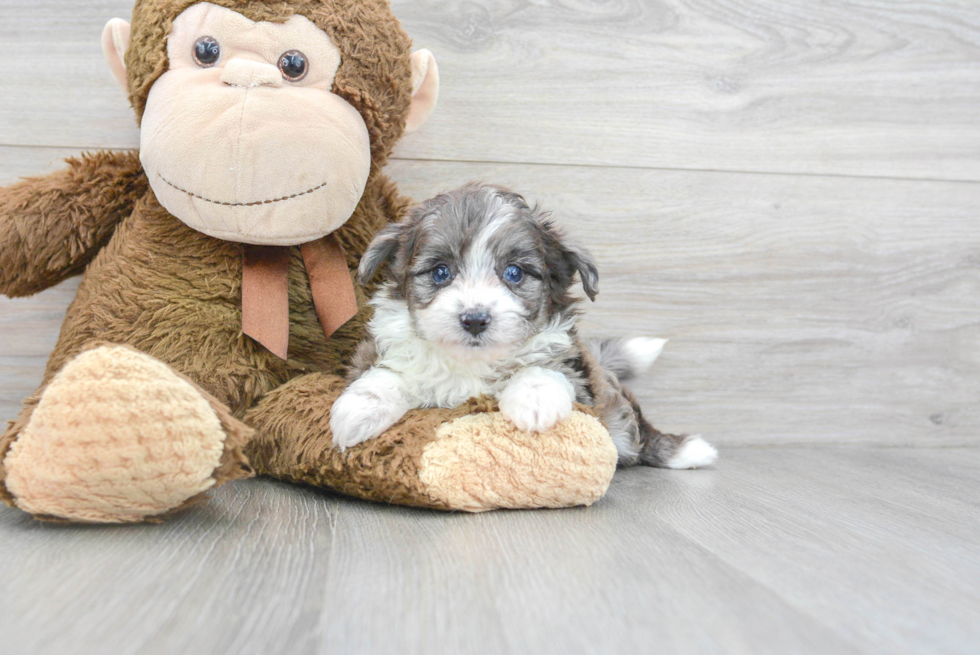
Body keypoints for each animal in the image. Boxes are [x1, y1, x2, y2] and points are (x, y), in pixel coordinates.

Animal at [332, 183, 720, 472]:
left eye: (514, 273)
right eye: (441, 272)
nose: (475, 319)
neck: (472, 363)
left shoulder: (576, 373)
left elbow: (541, 368)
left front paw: (534, 400)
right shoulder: (375, 351)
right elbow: (387, 372)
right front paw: (359, 410)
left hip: (614, 407)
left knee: (635, 429)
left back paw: (685, 451)